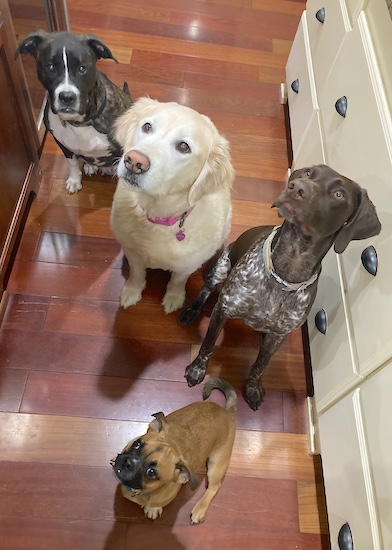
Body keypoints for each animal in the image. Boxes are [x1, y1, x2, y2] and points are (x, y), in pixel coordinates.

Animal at [16, 30, 132, 194]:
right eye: (50, 67)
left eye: (82, 68)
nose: (66, 97)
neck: (79, 123)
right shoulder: (62, 144)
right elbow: (72, 163)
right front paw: (74, 180)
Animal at [110, 97, 234, 316]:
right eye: (147, 127)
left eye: (184, 147)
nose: (134, 161)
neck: (158, 216)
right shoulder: (133, 252)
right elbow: (136, 273)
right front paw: (132, 291)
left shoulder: (187, 265)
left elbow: (178, 280)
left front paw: (174, 298)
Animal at [110, 380, 236, 528]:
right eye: (137, 443)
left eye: (151, 472)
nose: (128, 462)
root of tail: (227, 412)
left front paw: (153, 508)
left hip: (216, 465)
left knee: (214, 487)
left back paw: (200, 508)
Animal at [180, 166, 380, 412]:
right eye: (308, 173)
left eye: (339, 194)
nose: (295, 188)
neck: (287, 269)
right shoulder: (223, 309)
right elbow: (207, 345)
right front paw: (197, 369)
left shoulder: (279, 336)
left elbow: (261, 364)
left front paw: (253, 387)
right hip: (220, 269)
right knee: (206, 290)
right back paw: (192, 311)